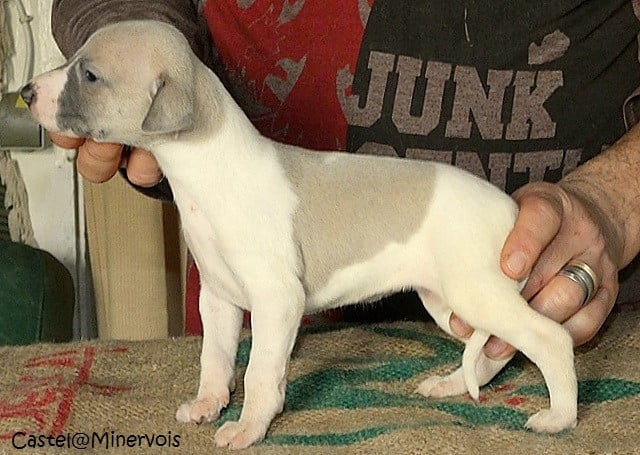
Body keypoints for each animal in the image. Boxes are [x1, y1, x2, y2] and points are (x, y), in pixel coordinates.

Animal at [22, 20, 577, 449]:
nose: (25, 93)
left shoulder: (277, 300)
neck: (209, 168)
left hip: (477, 292)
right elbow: (215, 358)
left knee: (550, 339)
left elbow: (259, 371)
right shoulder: (219, 298)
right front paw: (208, 405)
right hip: (446, 301)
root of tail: (510, 208)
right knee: (492, 355)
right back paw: (450, 386)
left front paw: (247, 429)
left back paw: (559, 418)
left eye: (90, 74)